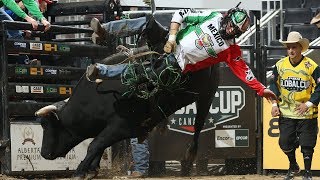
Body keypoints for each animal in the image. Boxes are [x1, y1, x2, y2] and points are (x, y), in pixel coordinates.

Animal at [35, 17, 220, 179]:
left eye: (48, 125)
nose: (44, 153)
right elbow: (100, 145)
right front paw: (92, 169)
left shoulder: (121, 125)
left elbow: (95, 145)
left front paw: (80, 171)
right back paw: (99, 32)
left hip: (207, 95)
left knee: (198, 126)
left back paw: (189, 158)